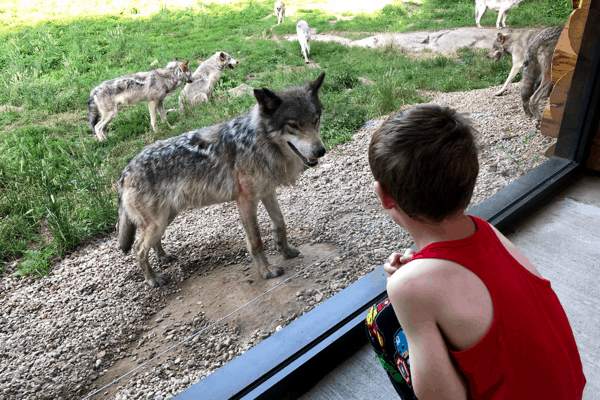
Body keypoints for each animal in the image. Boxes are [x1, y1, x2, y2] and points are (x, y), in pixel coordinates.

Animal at [118, 72, 328, 288]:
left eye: (315, 120)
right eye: (293, 125)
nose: (321, 151)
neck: (259, 142)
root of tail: (125, 171)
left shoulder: (268, 192)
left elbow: (280, 223)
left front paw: (285, 251)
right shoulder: (245, 201)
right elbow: (256, 240)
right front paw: (266, 271)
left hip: (165, 219)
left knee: (152, 243)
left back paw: (163, 257)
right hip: (158, 223)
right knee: (138, 249)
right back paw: (153, 279)